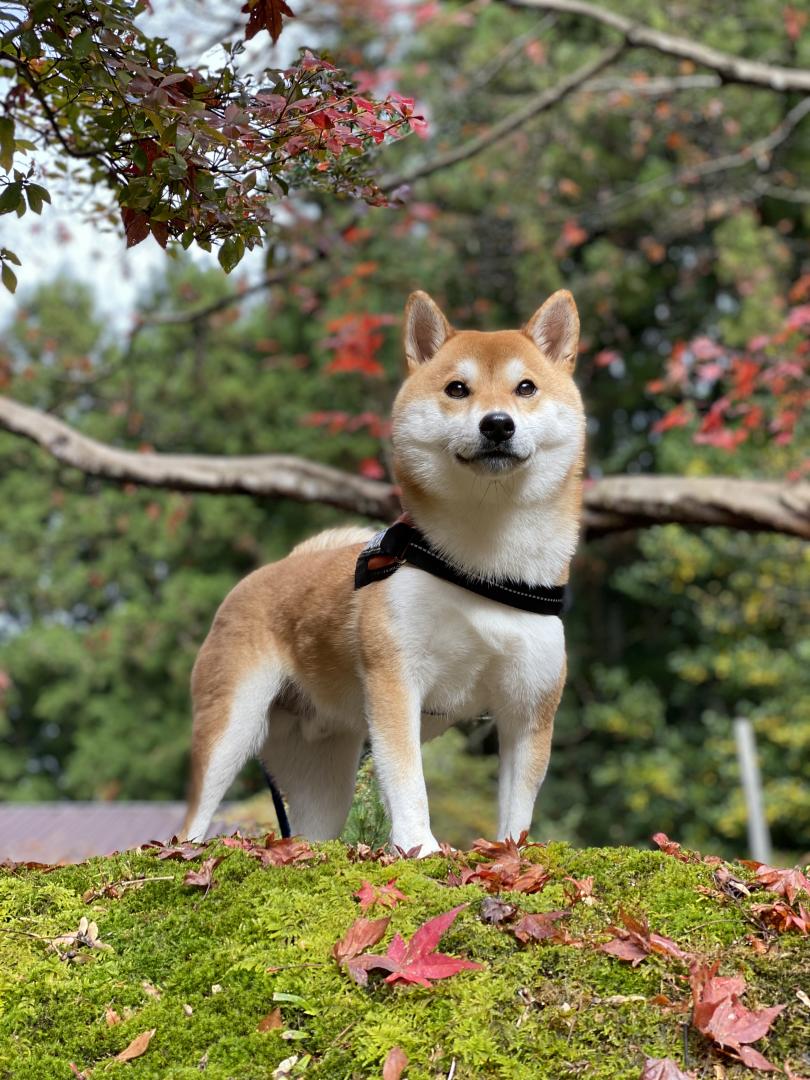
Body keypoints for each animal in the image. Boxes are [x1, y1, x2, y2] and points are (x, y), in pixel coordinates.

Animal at [185, 289, 583, 851]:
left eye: (525, 387)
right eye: (457, 389)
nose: (497, 424)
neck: (482, 567)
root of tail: (268, 571)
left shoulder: (528, 709)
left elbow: (516, 813)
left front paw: (509, 854)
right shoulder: (396, 681)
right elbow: (408, 782)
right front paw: (421, 849)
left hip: (324, 771)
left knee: (310, 833)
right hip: (231, 727)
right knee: (190, 824)